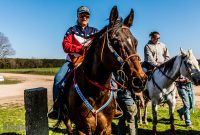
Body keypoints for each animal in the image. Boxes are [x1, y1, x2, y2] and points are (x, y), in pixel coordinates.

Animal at [56, 5, 147, 134]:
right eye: (115, 41)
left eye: (136, 42)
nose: (140, 80)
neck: (96, 94)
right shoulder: (82, 129)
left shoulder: (106, 128)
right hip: (66, 119)